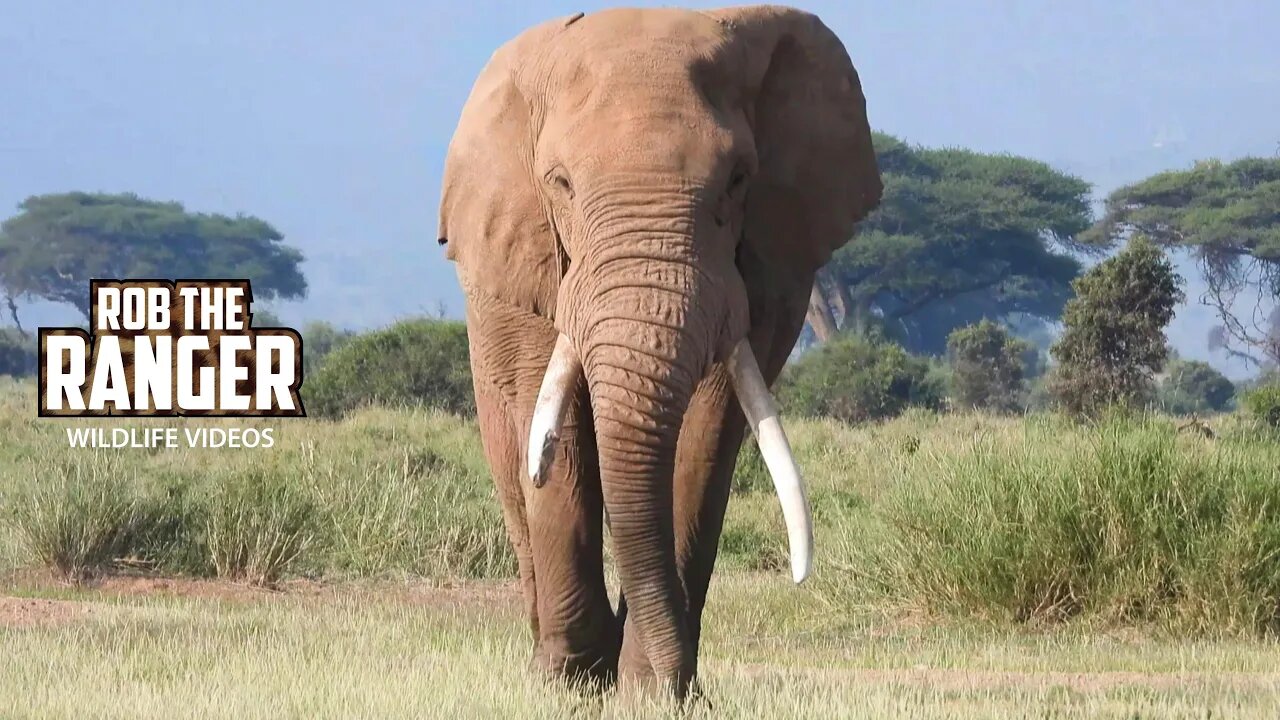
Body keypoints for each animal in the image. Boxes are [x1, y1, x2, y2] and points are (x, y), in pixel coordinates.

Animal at [437, 4, 880, 696]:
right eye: (560, 183)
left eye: (738, 179)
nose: (676, 682)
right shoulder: (534, 257)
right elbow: (555, 427)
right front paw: (574, 682)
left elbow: (709, 427)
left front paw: (649, 688)